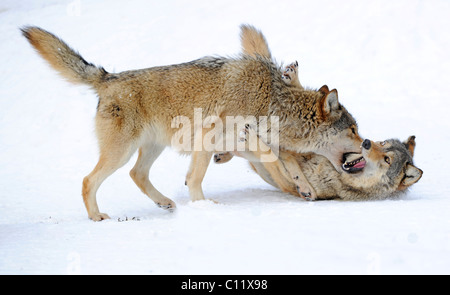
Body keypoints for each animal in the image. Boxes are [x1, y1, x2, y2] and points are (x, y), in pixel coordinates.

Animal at [22, 25, 362, 221]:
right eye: (354, 130)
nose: (367, 142)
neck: (272, 101)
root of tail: (108, 77)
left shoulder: (241, 142)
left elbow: (284, 160)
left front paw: (303, 188)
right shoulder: (211, 136)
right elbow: (199, 176)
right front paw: (203, 207)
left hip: (150, 149)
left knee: (136, 175)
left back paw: (165, 204)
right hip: (121, 152)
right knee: (88, 180)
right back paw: (97, 218)